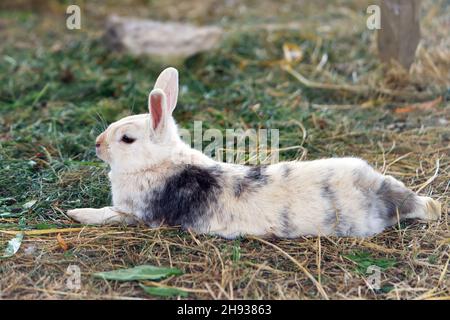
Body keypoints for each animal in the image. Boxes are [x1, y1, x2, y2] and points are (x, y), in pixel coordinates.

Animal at [67, 67, 442, 238]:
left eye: (127, 139)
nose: (97, 144)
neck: (159, 164)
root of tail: (384, 194)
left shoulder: (136, 213)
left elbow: (106, 214)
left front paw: (76, 214)